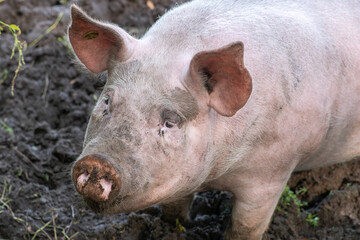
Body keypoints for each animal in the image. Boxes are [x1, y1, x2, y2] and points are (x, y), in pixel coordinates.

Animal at [68, 0, 360, 239]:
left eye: (169, 122)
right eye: (107, 102)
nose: (98, 162)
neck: (218, 174)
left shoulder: (274, 170)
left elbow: (246, 227)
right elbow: (175, 209)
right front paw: (176, 226)